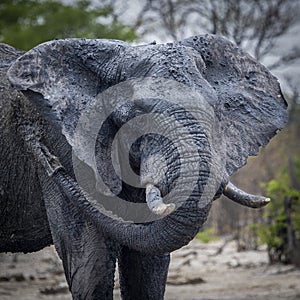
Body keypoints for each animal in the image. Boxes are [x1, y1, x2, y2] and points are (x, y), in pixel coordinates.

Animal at [0, 34, 288, 298]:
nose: (47, 158)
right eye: (137, 116)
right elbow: (91, 261)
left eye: (216, 109)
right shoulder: (64, 141)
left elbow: (147, 265)